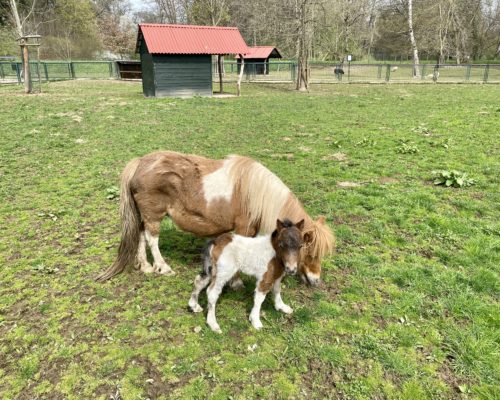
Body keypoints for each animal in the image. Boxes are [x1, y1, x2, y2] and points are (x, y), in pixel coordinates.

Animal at [95, 150, 334, 284]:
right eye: (309, 251)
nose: (315, 281)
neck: (256, 192)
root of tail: (140, 163)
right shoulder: (244, 228)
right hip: (154, 215)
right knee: (152, 240)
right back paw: (163, 268)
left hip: (145, 216)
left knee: (141, 236)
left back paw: (145, 267)